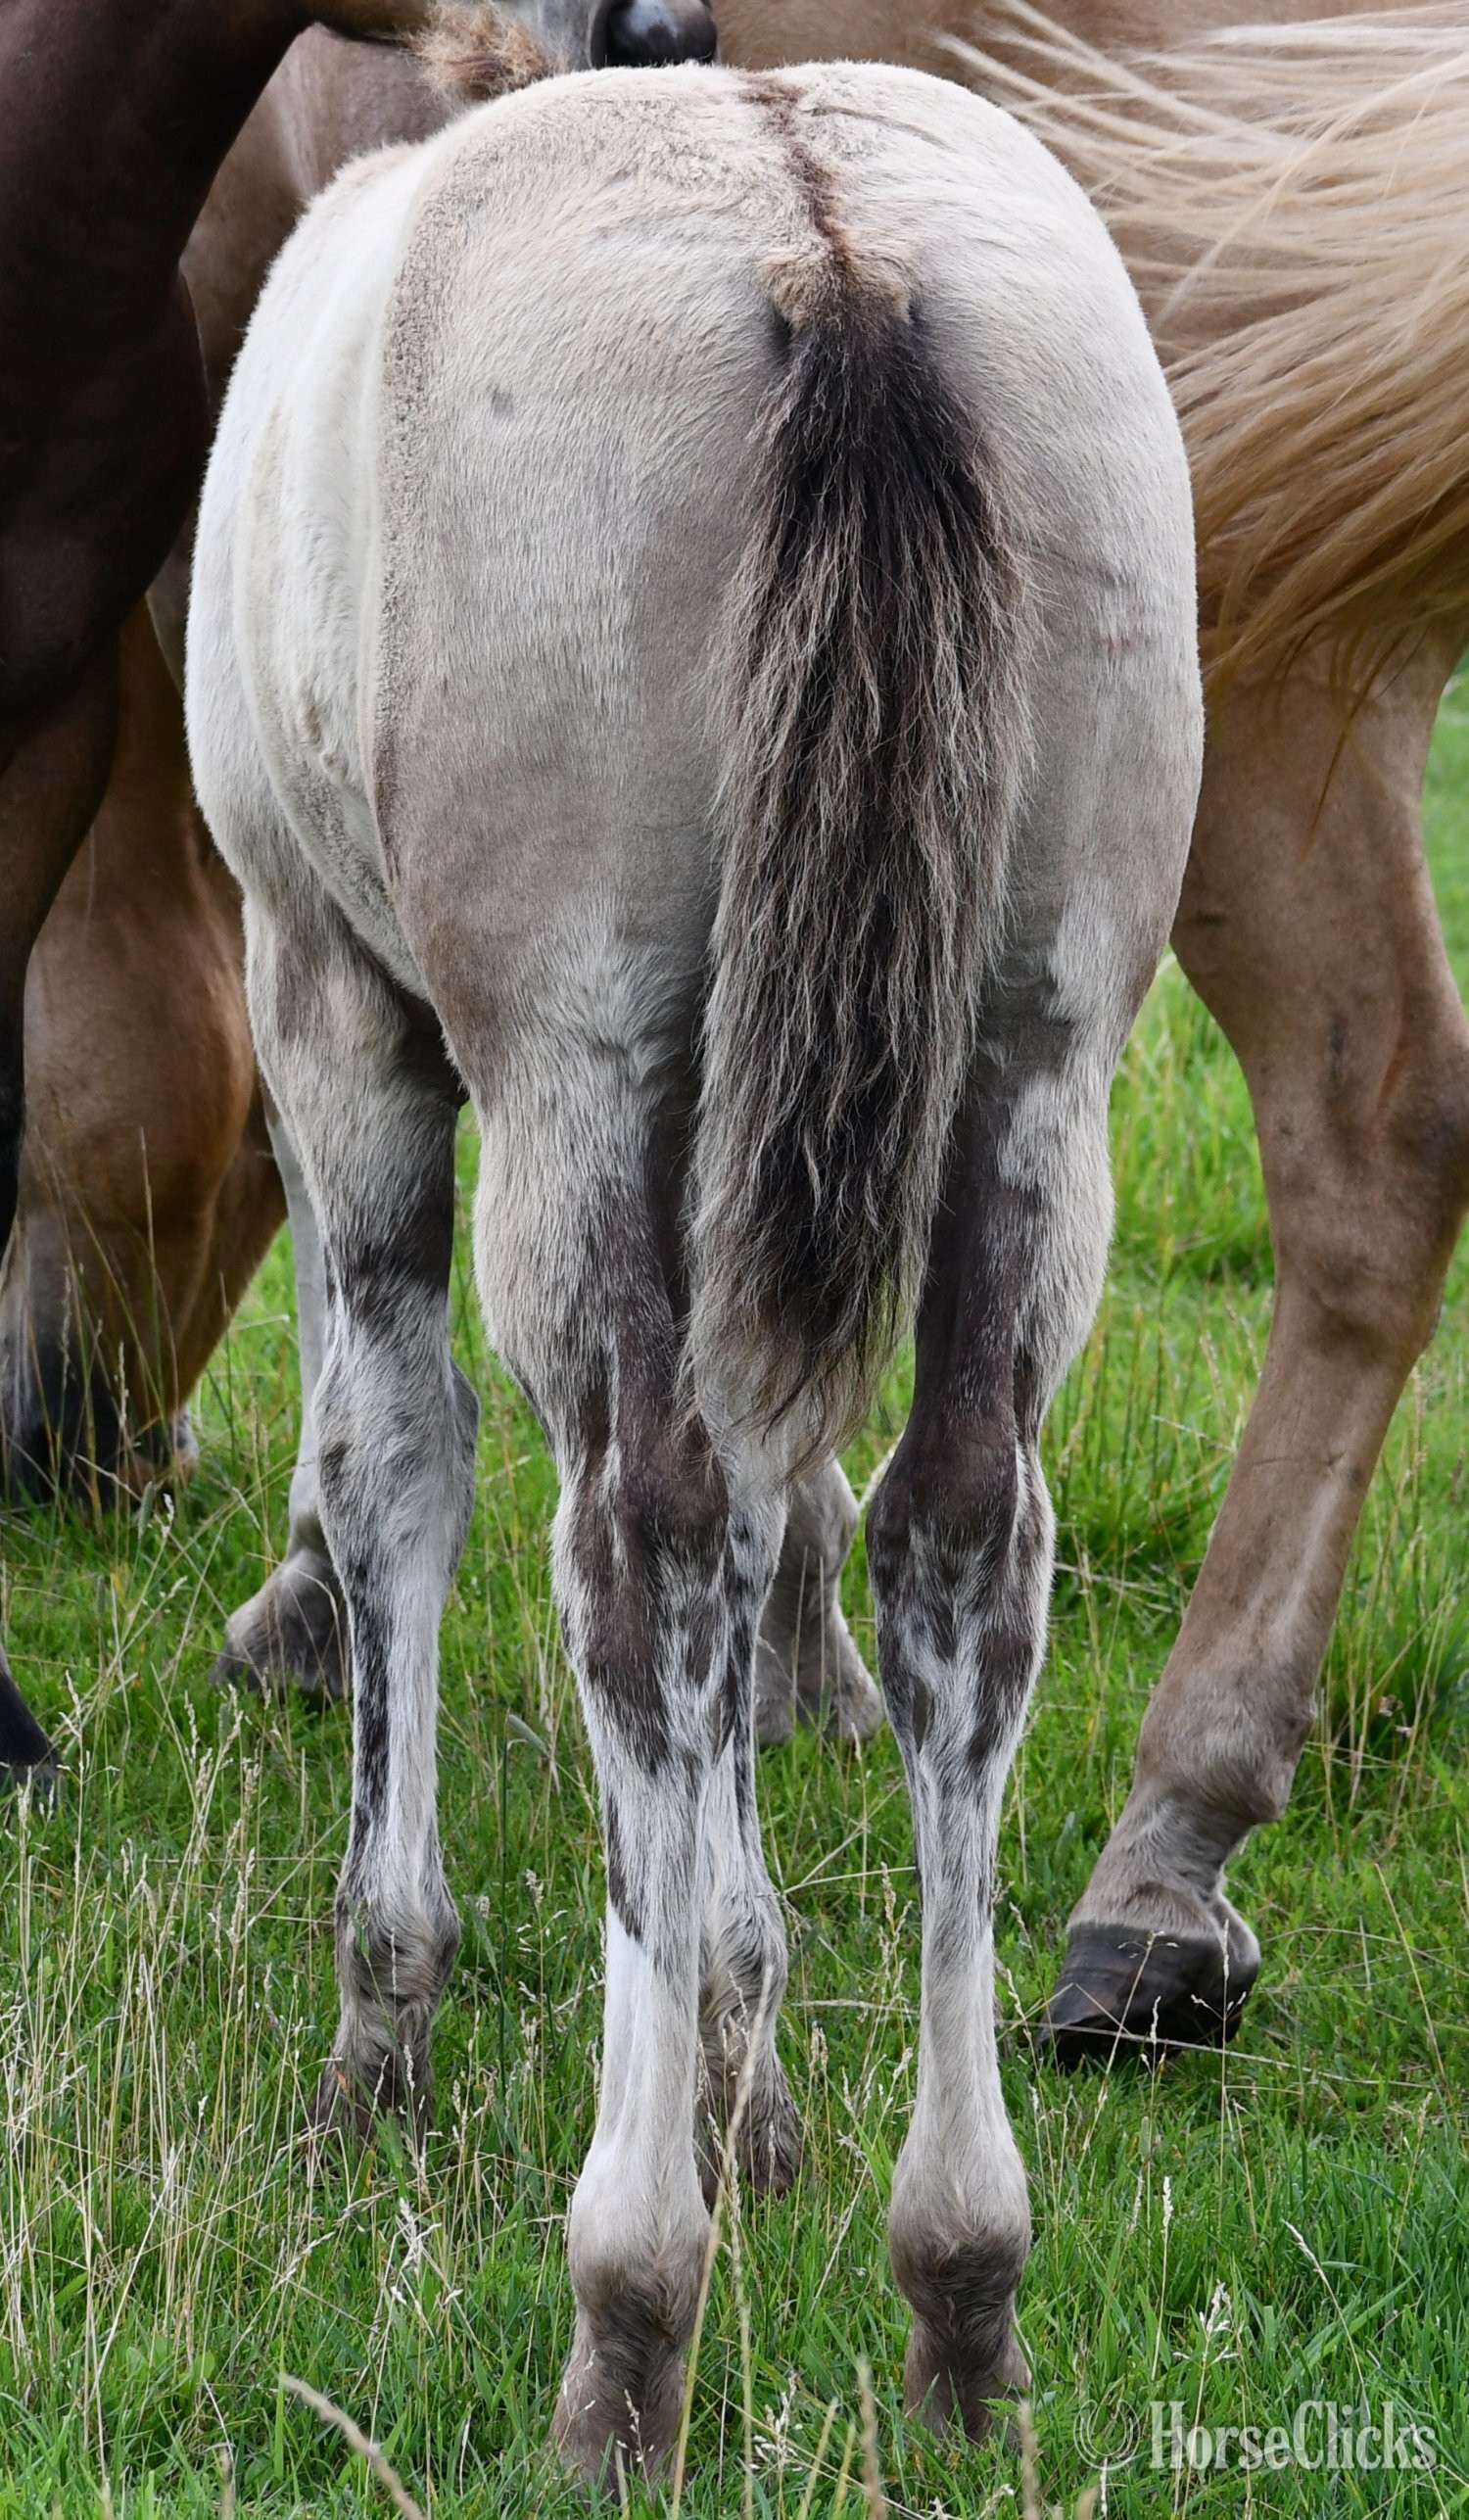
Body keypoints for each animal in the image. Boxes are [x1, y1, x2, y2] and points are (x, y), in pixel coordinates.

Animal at [184, 43, 1200, 2480]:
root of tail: (833, 253)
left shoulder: (329, 1004)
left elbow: (397, 1469)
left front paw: (389, 2012)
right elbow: (776, 1529)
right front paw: (752, 2048)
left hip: (578, 1060)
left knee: (632, 1551)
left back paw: (629, 2310)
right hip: (1036, 1059)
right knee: (956, 1549)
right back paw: (961, 2282)